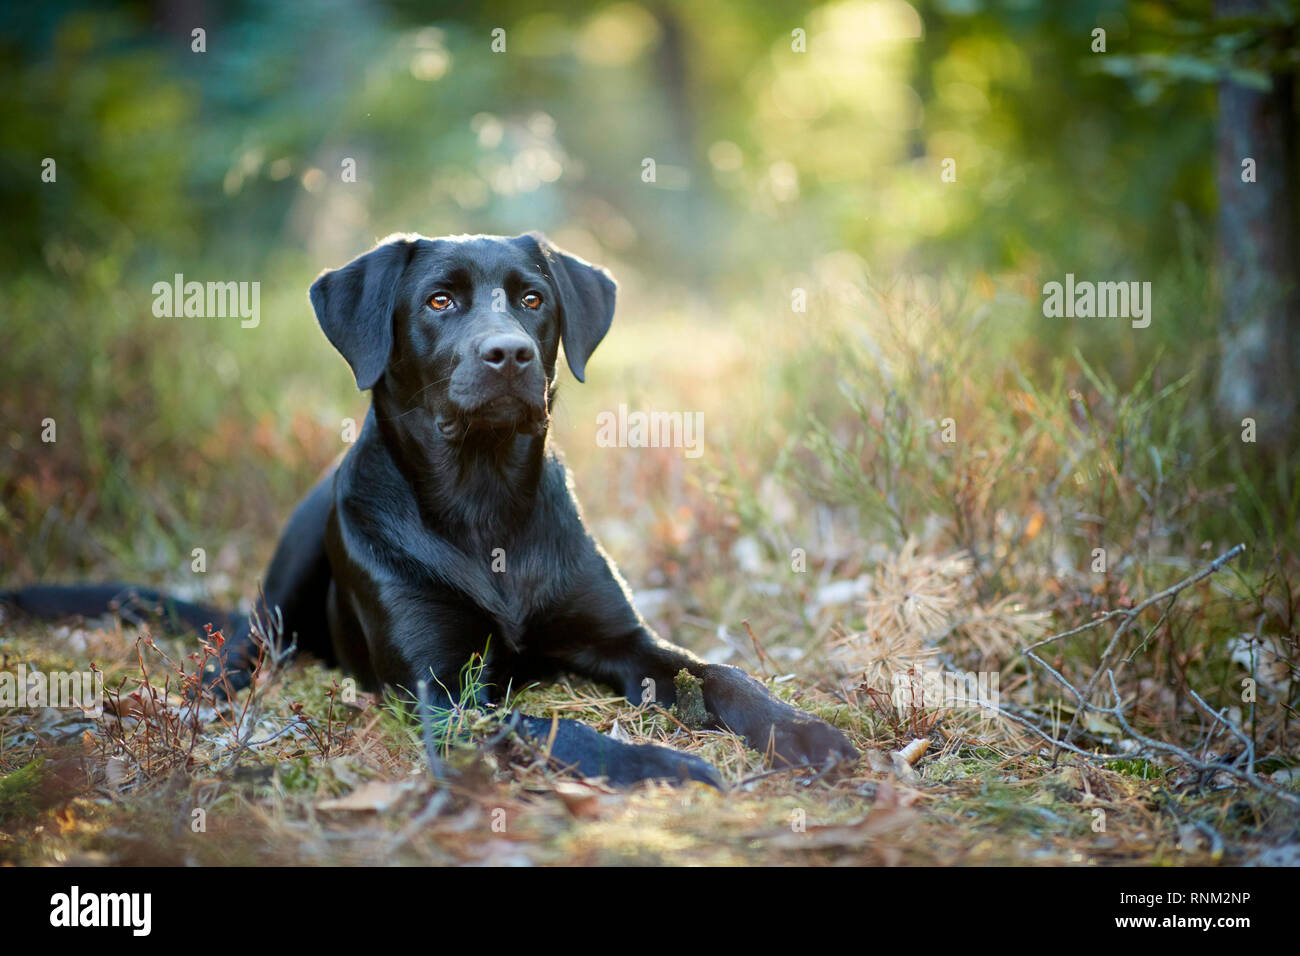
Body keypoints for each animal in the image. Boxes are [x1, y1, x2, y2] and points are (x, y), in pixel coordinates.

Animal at [5, 234, 857, 785]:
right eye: (440, 301)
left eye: (533, 299)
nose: (509, 353)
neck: (485, 501)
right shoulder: (439, 694)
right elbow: (550, 725)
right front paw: (657, 764)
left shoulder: (624, 641)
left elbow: (721, 673)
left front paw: (804, 732)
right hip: (289, 571)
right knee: (247, 643)